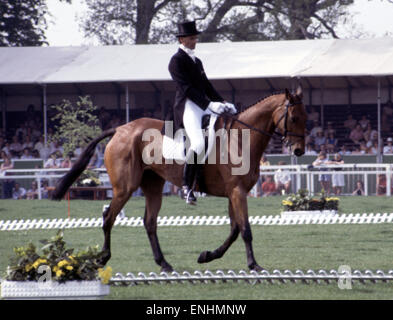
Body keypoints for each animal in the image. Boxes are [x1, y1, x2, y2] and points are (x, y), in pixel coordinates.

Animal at [51, 86, 306, 272]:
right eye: (293, 118)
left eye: (304, 117)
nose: (299, 151)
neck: (240, 139)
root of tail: (120, 129)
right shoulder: (236, 191)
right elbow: (244, 230)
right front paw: (254, 265)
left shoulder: (235, 193)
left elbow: (234, 230)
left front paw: (207, 256)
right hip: (125, 188)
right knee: (108, 217)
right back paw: (102, 259)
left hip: (153, 186)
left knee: (149, 222)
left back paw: (164, 264)